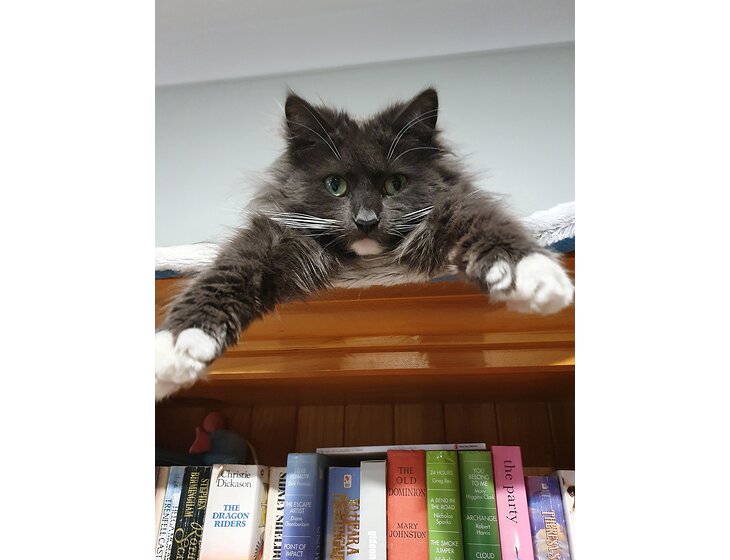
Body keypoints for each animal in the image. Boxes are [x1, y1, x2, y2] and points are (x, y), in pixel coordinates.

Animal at [155, 88, 574, 400]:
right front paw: (177, 347)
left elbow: (482, 219)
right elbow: (228, 271)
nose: (366, 220)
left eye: (395, 184)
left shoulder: (454, 209)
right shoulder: (273, 236)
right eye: (335, 185)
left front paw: (534, 274)